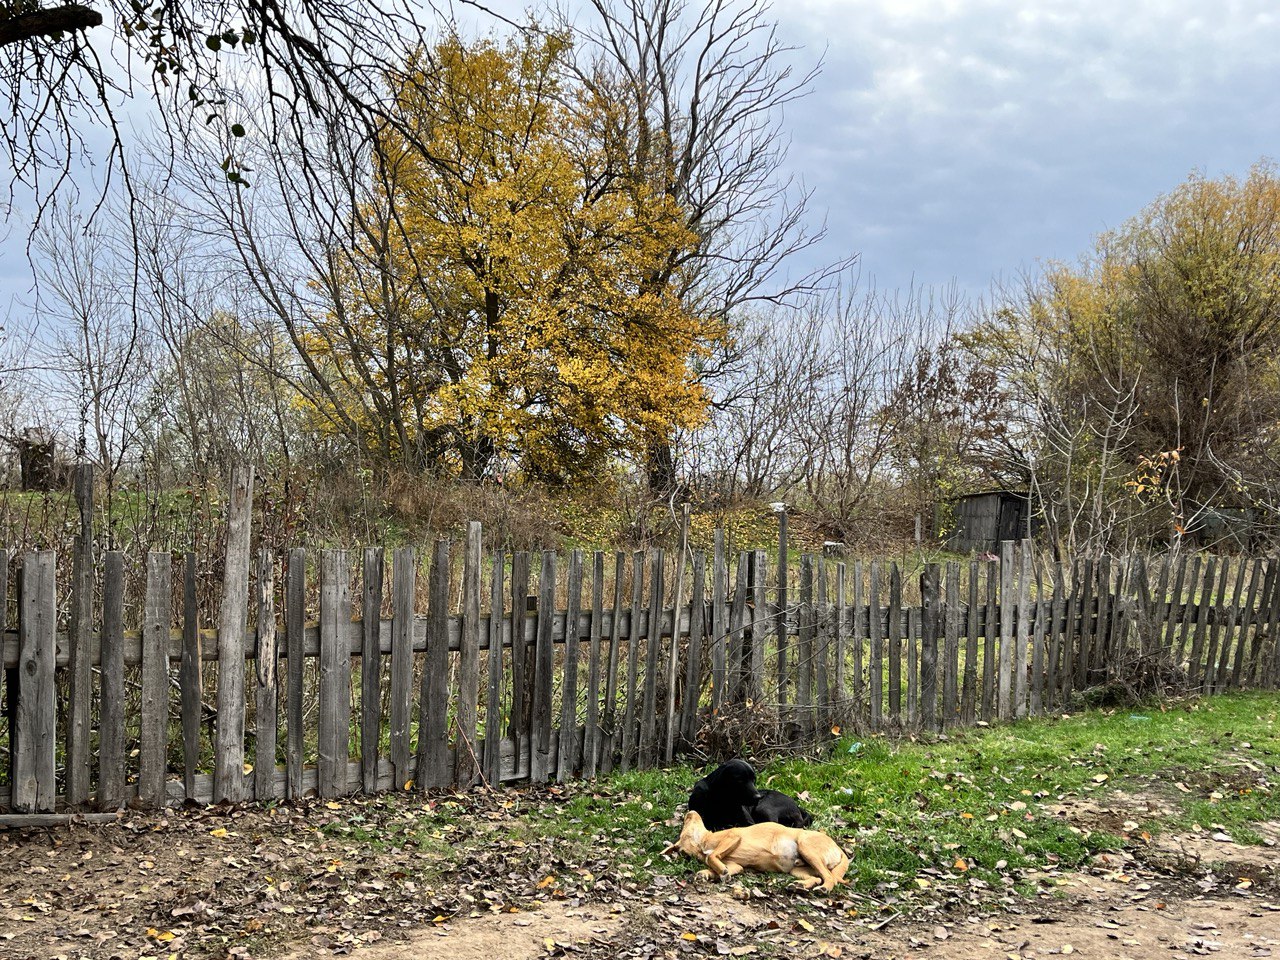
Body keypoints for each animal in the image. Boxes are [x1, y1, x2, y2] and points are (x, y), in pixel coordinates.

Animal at [660, 814, 849, 896]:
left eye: (686, 822)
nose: (690, 812)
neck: (704, 843)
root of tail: (839, 848)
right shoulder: (736, 866)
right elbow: (719, 866)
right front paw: (708, 874)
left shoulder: (733, 836)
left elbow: (712, 856)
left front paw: (716, 870)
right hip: (797, 869)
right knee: (817, 877)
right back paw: (799, 886)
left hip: (805, 846)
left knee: (829, 878)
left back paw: (824, 888)